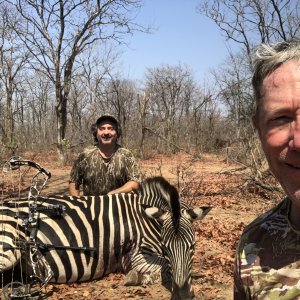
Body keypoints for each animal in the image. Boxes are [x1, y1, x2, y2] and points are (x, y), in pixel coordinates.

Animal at [0, 162, 211, 298]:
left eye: (192, 247)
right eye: (166, 248)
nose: (183, 296)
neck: (145, 218)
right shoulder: (135, 255)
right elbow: (164, 266)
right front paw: (136, 277)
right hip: (8, 250)